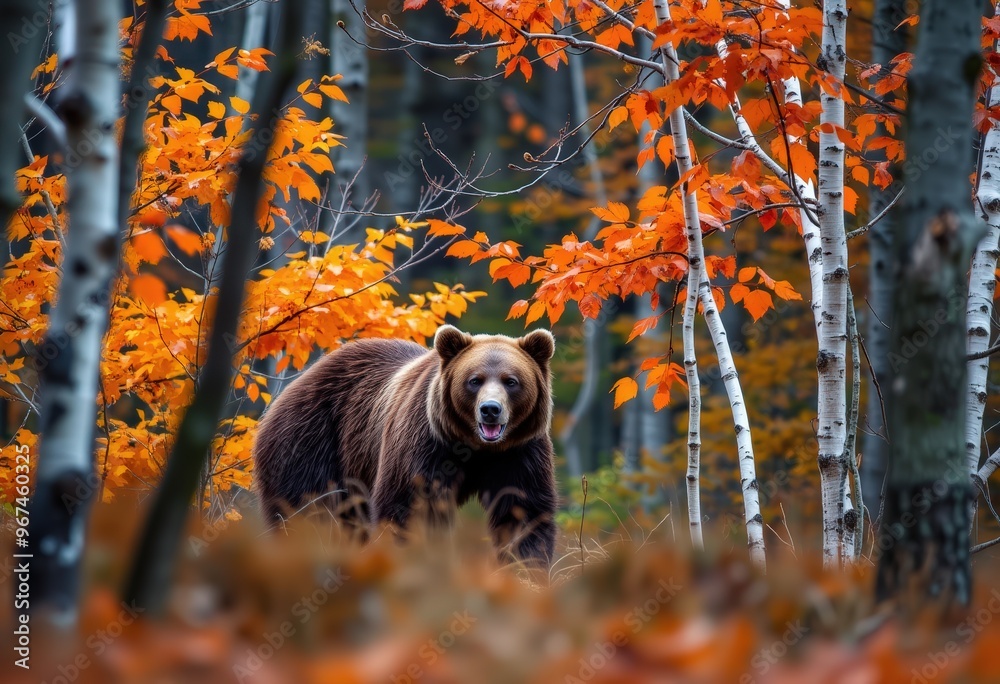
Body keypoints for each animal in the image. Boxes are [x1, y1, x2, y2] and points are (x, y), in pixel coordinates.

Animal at [252, 325, 558, 567]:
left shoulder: (518, 452)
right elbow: (411, 506)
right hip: (308, 439)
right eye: (474, 380)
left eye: (511, 381)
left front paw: (525, 569)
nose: (490, 410)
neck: (474, 446)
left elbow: (522, 510)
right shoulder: (424, 441)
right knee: (307, 511)